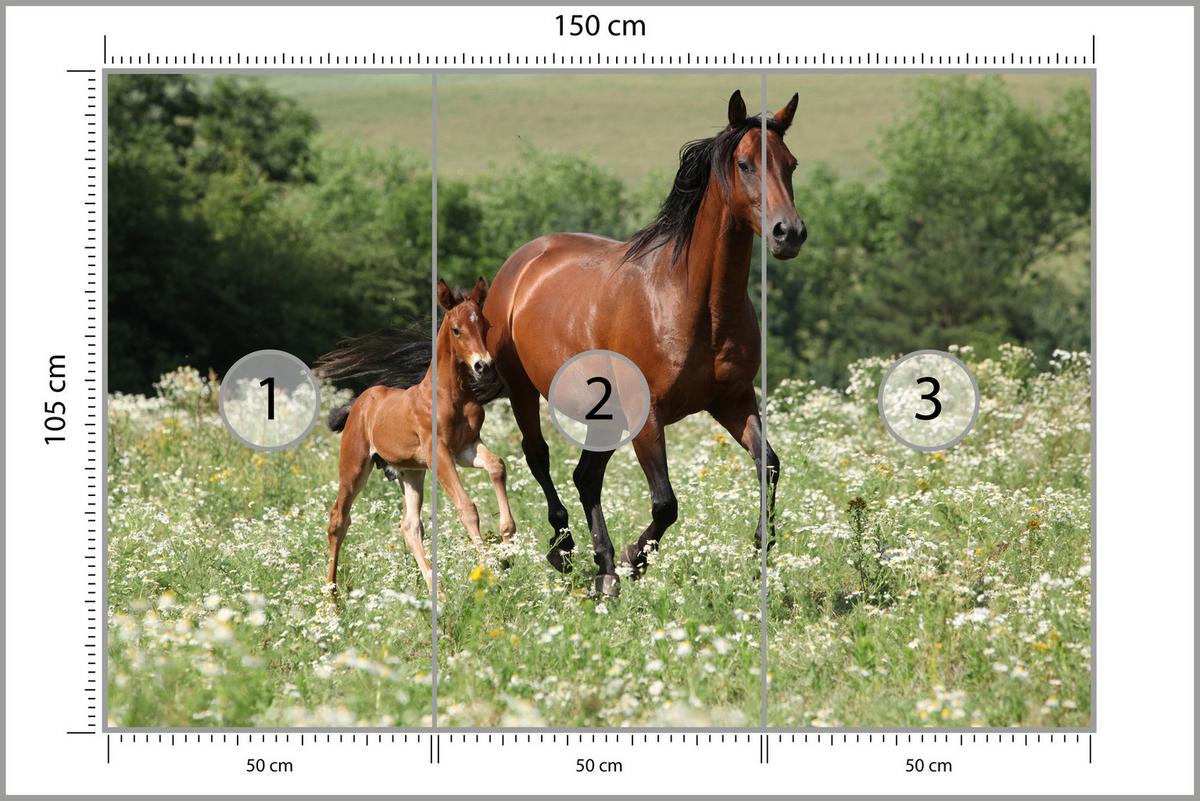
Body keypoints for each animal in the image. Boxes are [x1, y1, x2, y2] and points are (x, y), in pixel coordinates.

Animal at [317, 278, 515, 595]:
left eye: (485, 325)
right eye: (456, 329)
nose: (484, 366)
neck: (451, 394)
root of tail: (360, 402)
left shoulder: (467, 448)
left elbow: (497, 465)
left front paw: (508, 539)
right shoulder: (440, 454)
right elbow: (466, 507)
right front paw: (489, 572)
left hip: (410, 473)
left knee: (410, 526)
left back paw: (438, 590)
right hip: (354, 466)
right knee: (338, 520)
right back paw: (332, 598)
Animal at [481, 90, 806, 597]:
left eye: (791, 164)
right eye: (745, 164)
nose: (788, 233)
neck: (695, 302)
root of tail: (521, 262)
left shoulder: (733, 400)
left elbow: (768, 463)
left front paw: (762, 540)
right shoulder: (647, 414)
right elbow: (665, 503)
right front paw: (636, 558)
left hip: (605, 414)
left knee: (585, 477)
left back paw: (603, 568)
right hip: (522, 390)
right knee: (539, 457)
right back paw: (566, 549)